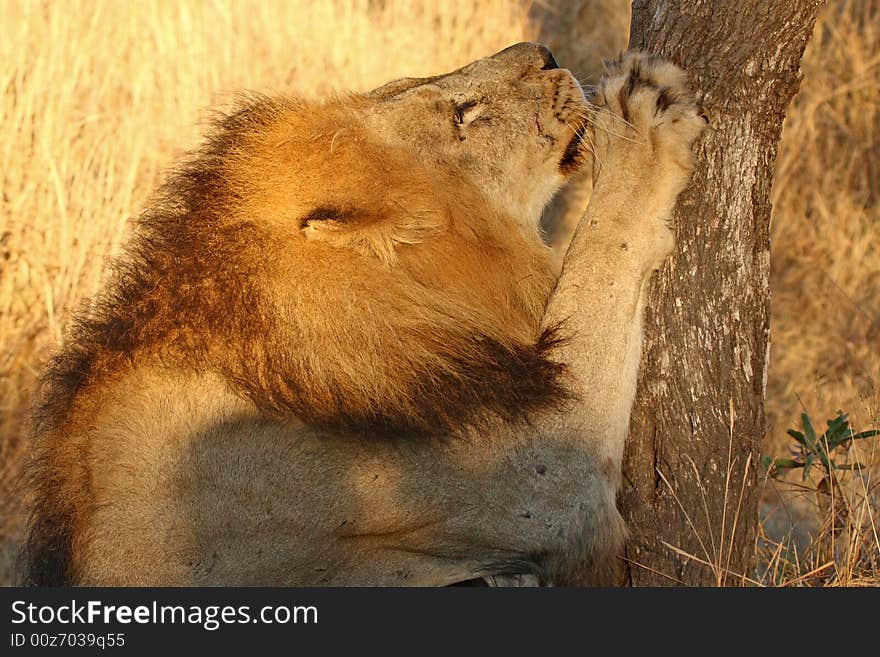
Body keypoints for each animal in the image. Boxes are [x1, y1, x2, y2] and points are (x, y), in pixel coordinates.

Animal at [24, 43, 704, 584]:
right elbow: (601, 254)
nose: (544, 53)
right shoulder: (545, 485)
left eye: (404, 82)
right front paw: (640, 125)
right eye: (462, 114)